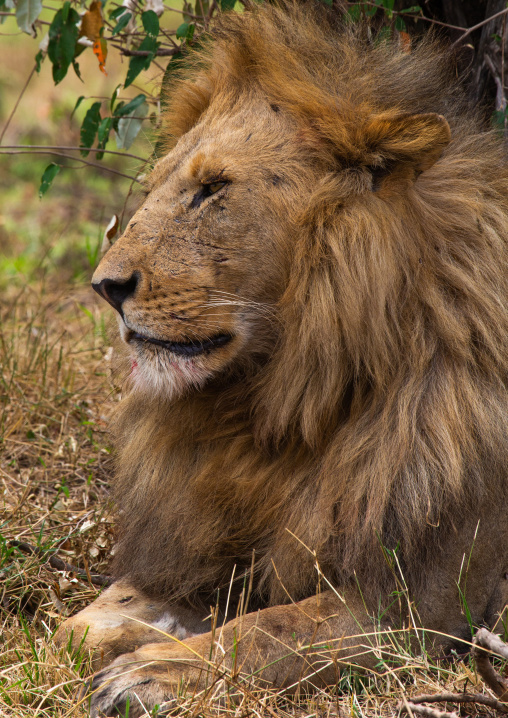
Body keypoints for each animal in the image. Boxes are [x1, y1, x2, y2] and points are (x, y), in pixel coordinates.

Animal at [55, 3, 508, 716]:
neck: (278, 409)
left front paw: (152, 674)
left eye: (212, 189)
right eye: (156, 187)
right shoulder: (205, 544)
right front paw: (125, 641)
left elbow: (269, 632)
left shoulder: (424, 607)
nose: (105, 286)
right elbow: (79, 627)